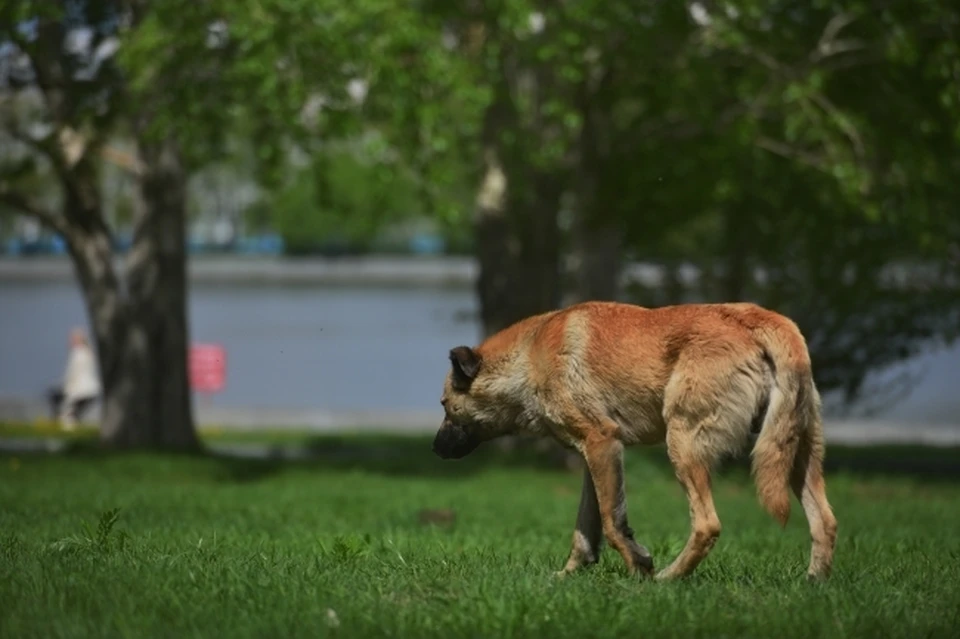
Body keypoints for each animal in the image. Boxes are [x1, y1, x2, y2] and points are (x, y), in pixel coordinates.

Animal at [432, 302, 836, 584]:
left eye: (445, 405)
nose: (435, 448)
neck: (528, 356)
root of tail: (757, 318)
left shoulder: (602, 443)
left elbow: (613, 524)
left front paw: (638, 570)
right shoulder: (593, 457)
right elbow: (585, 530)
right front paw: (568, 576)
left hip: (683, 444)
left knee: (707, 525)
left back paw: (668, 579)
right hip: (796, 454)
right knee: (825, 522)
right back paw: (813, 582)